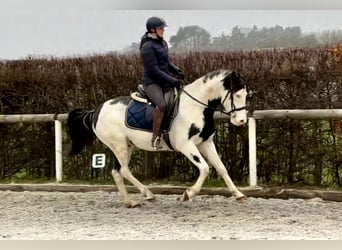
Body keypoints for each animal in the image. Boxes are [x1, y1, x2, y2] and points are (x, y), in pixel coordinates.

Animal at [67, 70, 248, 207]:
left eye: (247, 95)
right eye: (237, 94)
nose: (241, 121)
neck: (196, 107)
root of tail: (96, 111)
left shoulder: (206, 142)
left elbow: (221, 168)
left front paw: (238, 194)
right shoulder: (186, 145)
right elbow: (204, 168)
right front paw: (188, 194)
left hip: (126, 145)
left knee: (117, 172)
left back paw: (131, 201)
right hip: (119, 146)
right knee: (124, 170)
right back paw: (146, 194)